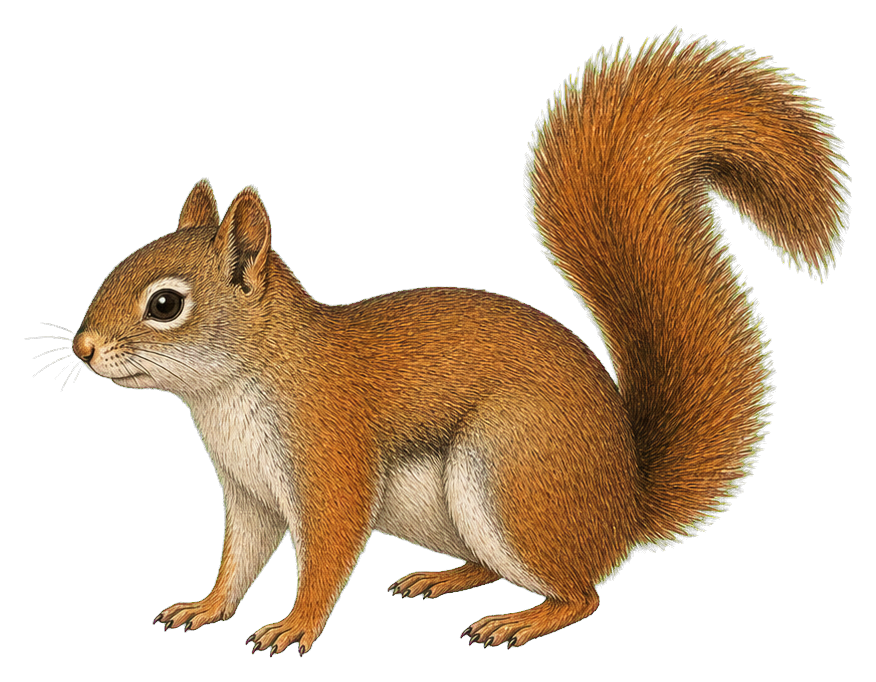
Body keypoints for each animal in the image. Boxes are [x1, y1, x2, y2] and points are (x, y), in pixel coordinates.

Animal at [50, 30, 847, 656]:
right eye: (118, 265)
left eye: (165, 304)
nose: (83, 348)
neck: (233, 387)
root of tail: (624, 503)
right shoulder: (247, 493)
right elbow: (237, 561)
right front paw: (205, 606)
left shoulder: (330, 459)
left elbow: (328, 553)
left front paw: (294, 627)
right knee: (499, 568)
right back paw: (440, 579)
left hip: (508, 475)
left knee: (582, 594)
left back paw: (518, 622)